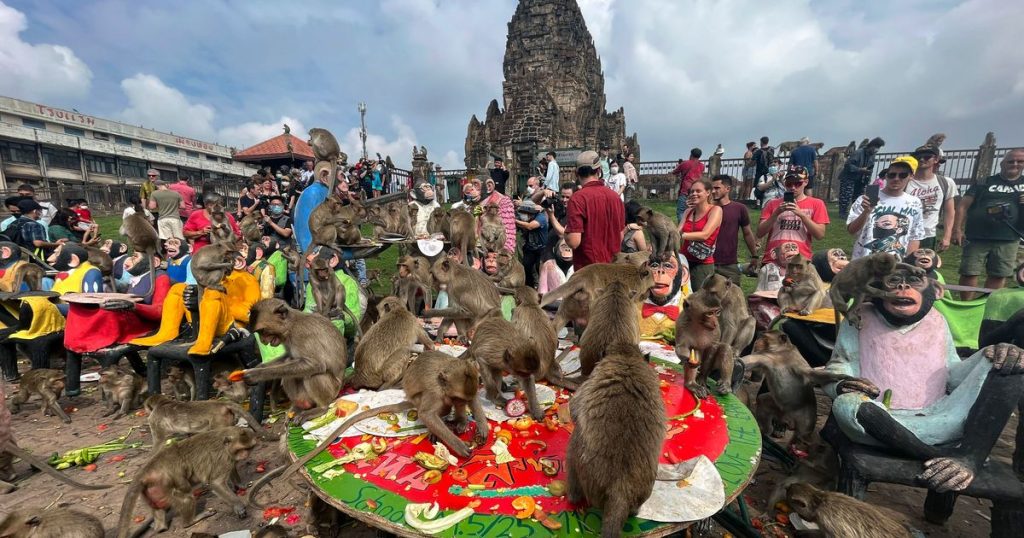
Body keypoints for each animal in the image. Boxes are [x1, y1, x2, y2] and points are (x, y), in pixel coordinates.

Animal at [113, 428, 252, 536]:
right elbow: (216, 482)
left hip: (150, 491)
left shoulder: (229, 458)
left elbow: (231, 469)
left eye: (249, 448)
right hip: (164, 484)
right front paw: (238, 506)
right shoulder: (223, 457)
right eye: (241, 449)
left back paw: (159, 528)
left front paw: (240, 485)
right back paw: (190, 522)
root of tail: (146, 471)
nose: (245, 455)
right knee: (186, 497)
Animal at [246, 350, 487, 506]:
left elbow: (473, 397)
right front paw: (458, 445)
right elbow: (428, 414)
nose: (460, 401)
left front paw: (481, 427)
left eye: (464, 397)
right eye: (458, 395)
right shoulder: (436, 393)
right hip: (419, 399)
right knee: (429, 411)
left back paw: (460, 420)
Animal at [565, 344, 667, 536]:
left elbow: (574, 409)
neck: (627, 356)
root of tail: (620, 489)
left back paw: (573, 496)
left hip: (581, 464)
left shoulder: (591, 379)